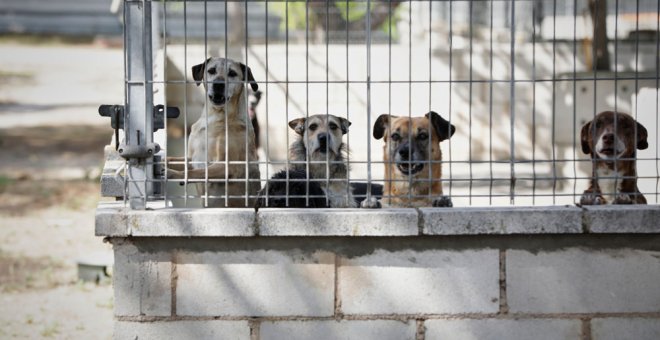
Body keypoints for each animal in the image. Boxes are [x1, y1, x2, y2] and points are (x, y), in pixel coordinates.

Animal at [166, 57, 262, 207]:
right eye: (211, 70)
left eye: (232, 73)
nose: (218, 85)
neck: (214, 118)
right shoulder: (192, 158)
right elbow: (173, 160)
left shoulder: (226, 166)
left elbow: (196, 172)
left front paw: (172, 174)